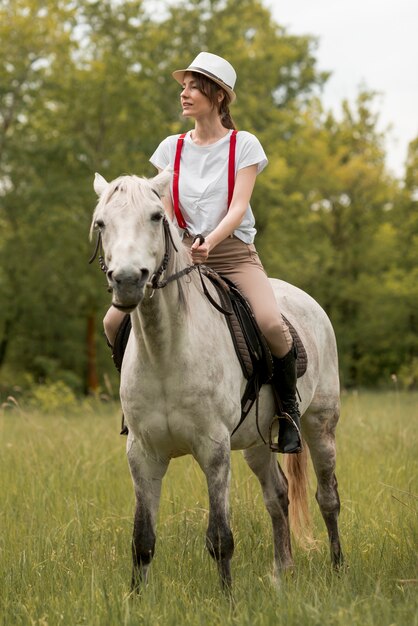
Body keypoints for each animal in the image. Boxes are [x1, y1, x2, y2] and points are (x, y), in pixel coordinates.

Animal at [90, 171, 342, 588]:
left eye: (156, 216)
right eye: (101, 223)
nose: (127, 281)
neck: (166, 352)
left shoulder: (214, 450)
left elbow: (220, 539)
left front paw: (227, 598)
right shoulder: (142, 454)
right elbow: (142, 541)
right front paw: (135, 598)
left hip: (320, 424)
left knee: (328, 497)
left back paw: (339, 569)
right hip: (258, 440)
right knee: (278, 496)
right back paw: (281, 573)